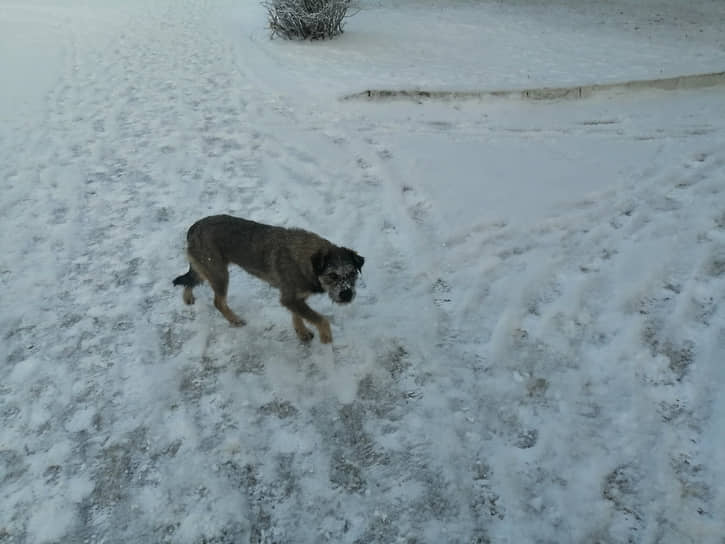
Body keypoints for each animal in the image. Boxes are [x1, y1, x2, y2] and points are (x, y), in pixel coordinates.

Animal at [173, 214, 364, 344]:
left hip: (206, 268)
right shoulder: (290, 298)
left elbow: (297, 315)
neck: (307, 260)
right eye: (332, 275)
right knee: (218, 302)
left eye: (353, 273)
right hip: (219, 274)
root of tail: (194, 227)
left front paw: (301, 332)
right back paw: (235, 320)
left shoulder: (295, 298)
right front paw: (326, 336)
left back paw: (188, 297)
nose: (347, 295)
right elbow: (320, 318)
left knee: (191, 280)